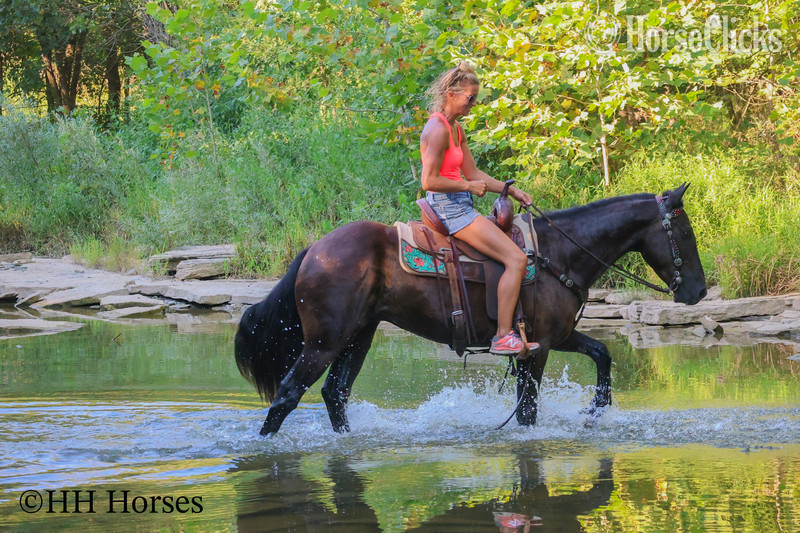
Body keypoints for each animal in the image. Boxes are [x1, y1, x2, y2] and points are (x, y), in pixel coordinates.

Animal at [235, 184, 707, 436]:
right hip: (323, 342)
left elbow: (602, 353)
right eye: (685, 232)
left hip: (358, 337)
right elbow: (528, 411)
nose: (699, 291)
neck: (559, 254)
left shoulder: (556, 337)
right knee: (288, 394)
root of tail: (315, 250)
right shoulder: (537, 349)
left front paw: (596, 408)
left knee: (336, 394)